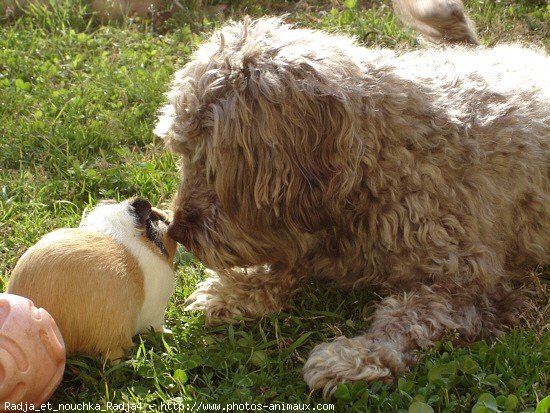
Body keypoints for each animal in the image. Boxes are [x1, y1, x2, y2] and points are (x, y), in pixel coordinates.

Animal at [155, 2, 550, 396]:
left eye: (212, 165)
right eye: (182, 152)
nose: (176, 231)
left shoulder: (464, 283)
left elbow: (408, 318)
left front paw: (356, 357)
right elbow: (287, 263)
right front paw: (238, 289)